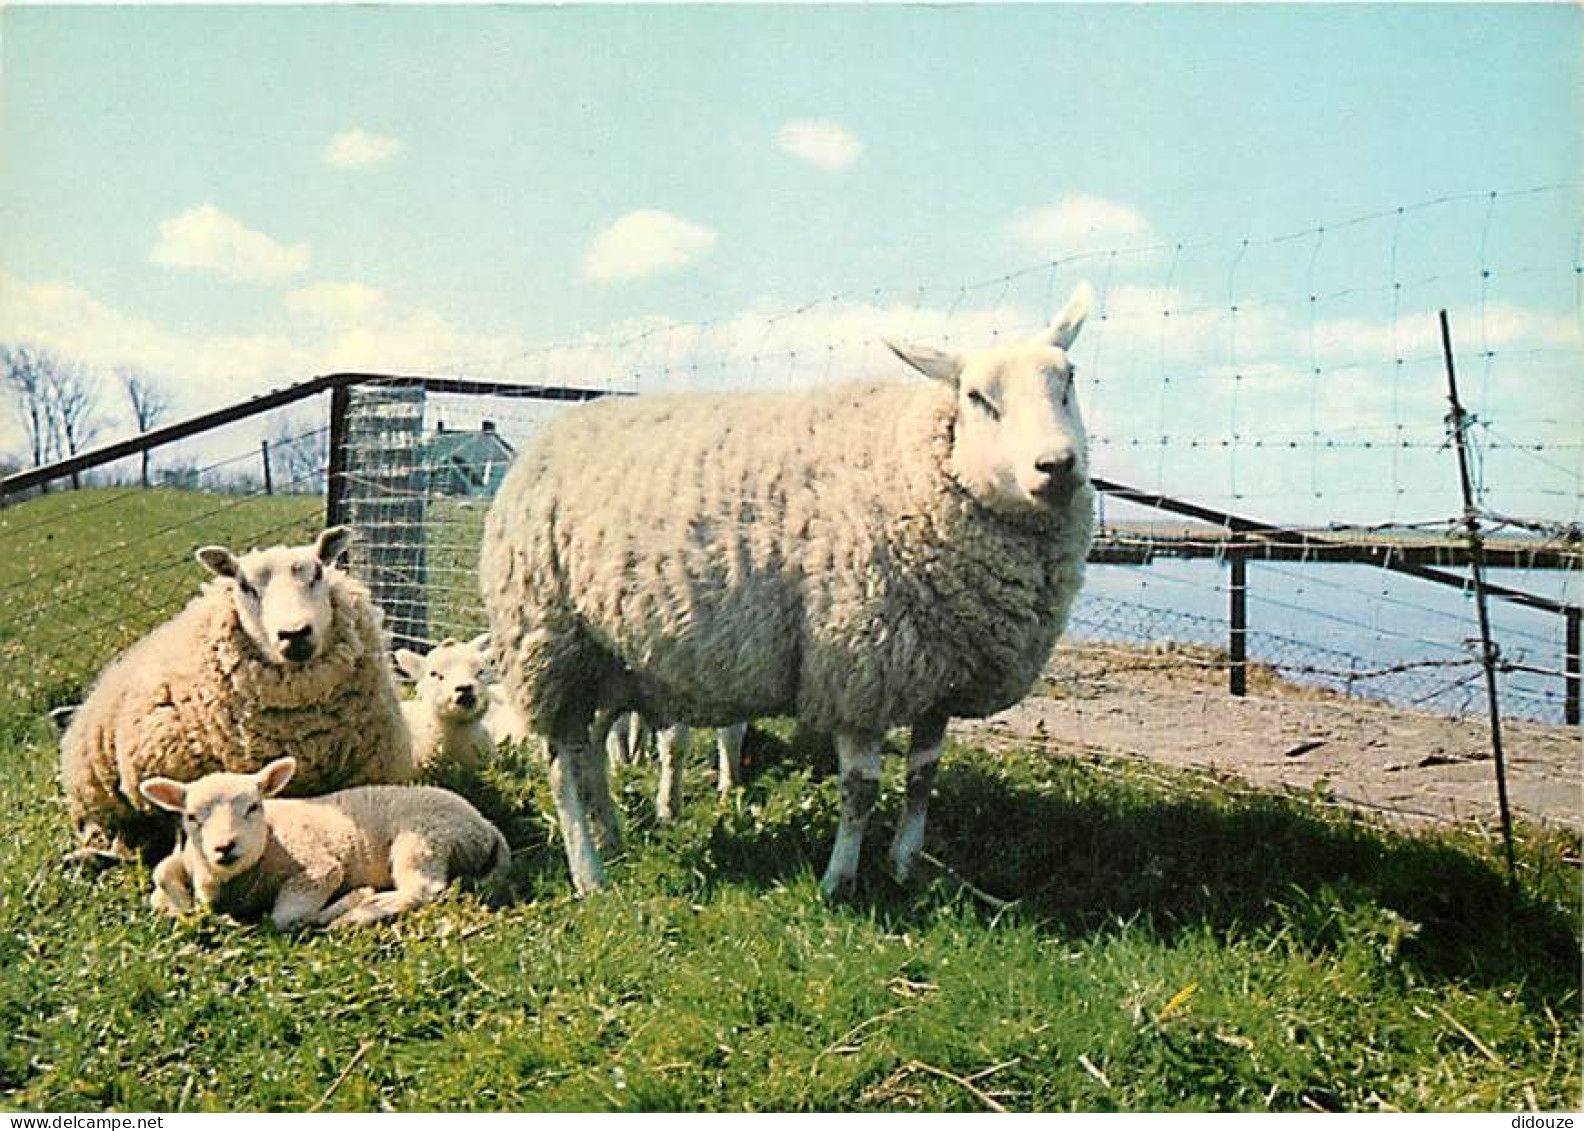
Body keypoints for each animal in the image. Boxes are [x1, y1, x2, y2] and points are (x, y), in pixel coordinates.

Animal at [58, 522, 411, 861]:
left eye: (318, 573)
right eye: (245, 587)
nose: (294, 634)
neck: (303, 736)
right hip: (96, 799)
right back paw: (89, 857)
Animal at [142, 757, 510, 925]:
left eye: (253, 806)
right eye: (191, 817)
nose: (224, 847)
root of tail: (485, 824)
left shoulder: (319, 868)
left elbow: (285, 919)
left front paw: (352, 901)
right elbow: (161, 875)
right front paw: (177, 904)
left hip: (426, 838)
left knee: (422, 889)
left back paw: (360, 912)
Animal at [481, 283, 1096, 899]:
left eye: (1069, 381)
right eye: (977, 397)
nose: (1057, 465)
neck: (909, 466)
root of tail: (545, 441)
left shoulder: (936, 679)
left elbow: (923, 779)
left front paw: (904, 865)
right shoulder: (857, 669)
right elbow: (860, 790)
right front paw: (838, 882)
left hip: (610, 659)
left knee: (591, 752)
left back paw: (612, 837)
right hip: (549, 640)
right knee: (562, 762)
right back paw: (591, 874)